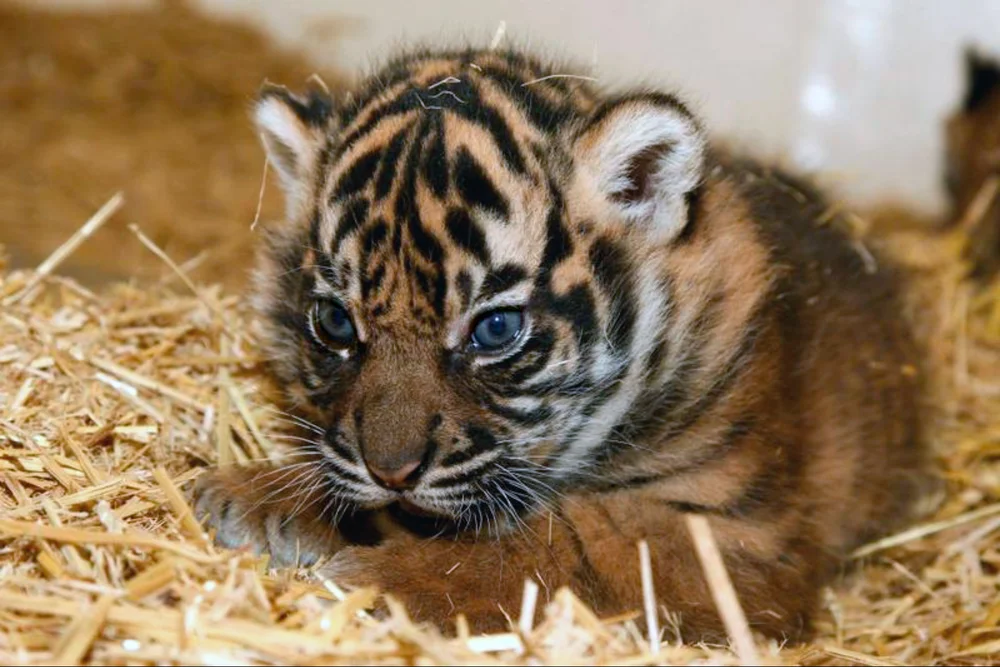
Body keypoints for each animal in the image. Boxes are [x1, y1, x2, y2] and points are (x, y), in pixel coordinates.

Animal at [191, 45, 931, 642]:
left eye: (495, 329)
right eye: (336, 323)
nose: (391, 472)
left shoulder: (738, 538)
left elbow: (565, 542)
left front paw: (377, 580)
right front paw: (261, 495)